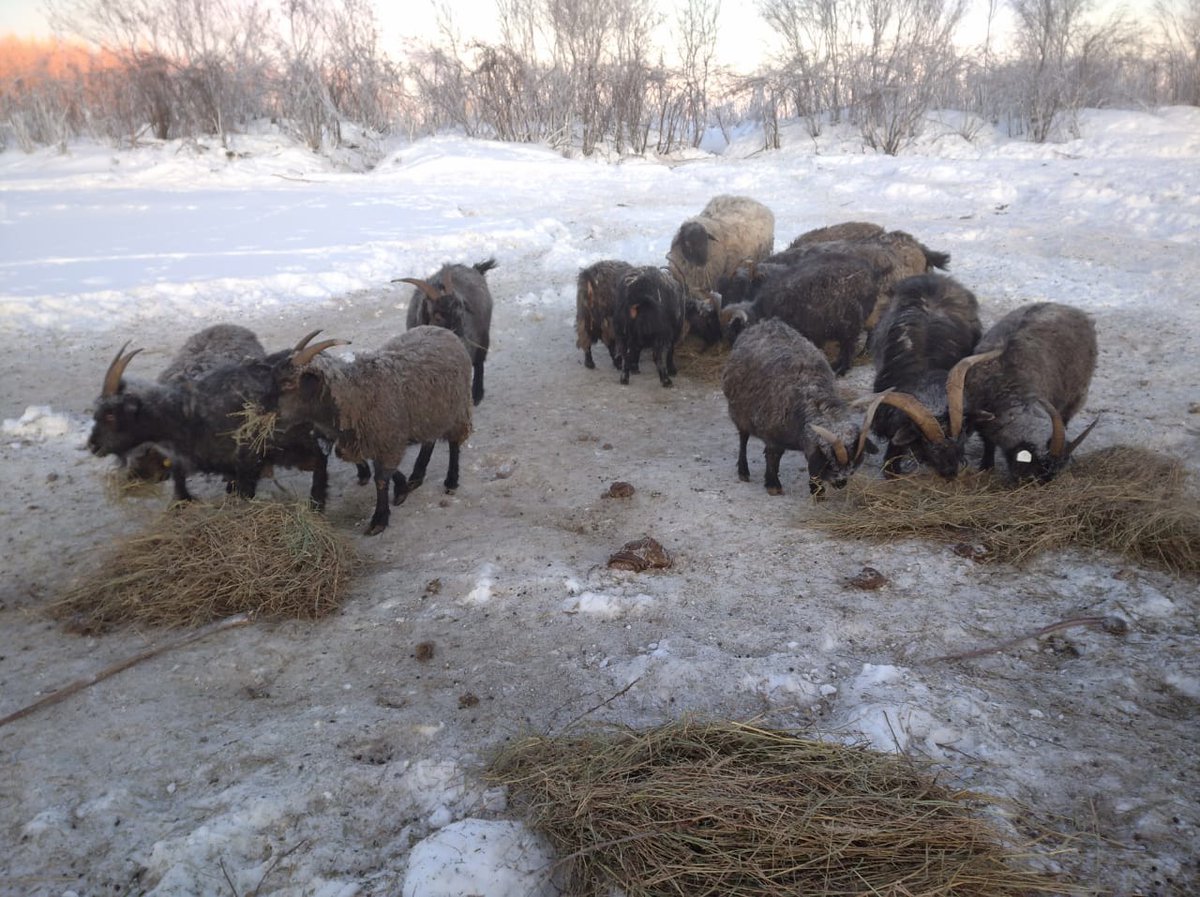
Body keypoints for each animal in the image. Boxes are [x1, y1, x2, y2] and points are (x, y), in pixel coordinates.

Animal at [267, 323, 472, 532]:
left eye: (288, 383)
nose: (271, 418)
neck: (352, 395)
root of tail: (443, 330)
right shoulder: (372, 439)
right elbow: (379, 467)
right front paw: (402, 486)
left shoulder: (386, 437)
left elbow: (380, 479)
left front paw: (379, 519)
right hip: (430, 413)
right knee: (429, 441)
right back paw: (417, 475)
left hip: (457, 407)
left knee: (454, 443)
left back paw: (451, 480)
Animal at [398, 255, 496, 402]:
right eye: (437, 316)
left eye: (460, 312)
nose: (459, 340)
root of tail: (476, 269)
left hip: (484, 335)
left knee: (480, 362)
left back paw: (477, 394)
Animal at [715, 316, 878, 496]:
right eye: (832, 464)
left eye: (853, 468)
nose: (841, 483)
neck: (815, 400)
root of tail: (764, 323)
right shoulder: (772, 433)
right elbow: (773, 456)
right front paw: (773, 484)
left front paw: (817, 491)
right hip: (739, 410)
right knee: (743, 438)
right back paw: (743, 471)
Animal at [945, 300, 1099, 484]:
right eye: (1037, 470)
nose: (1022, 482)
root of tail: (1070, 308)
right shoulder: (981, 422)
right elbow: (988, 444)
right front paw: (986, 467)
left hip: (1076, 397)